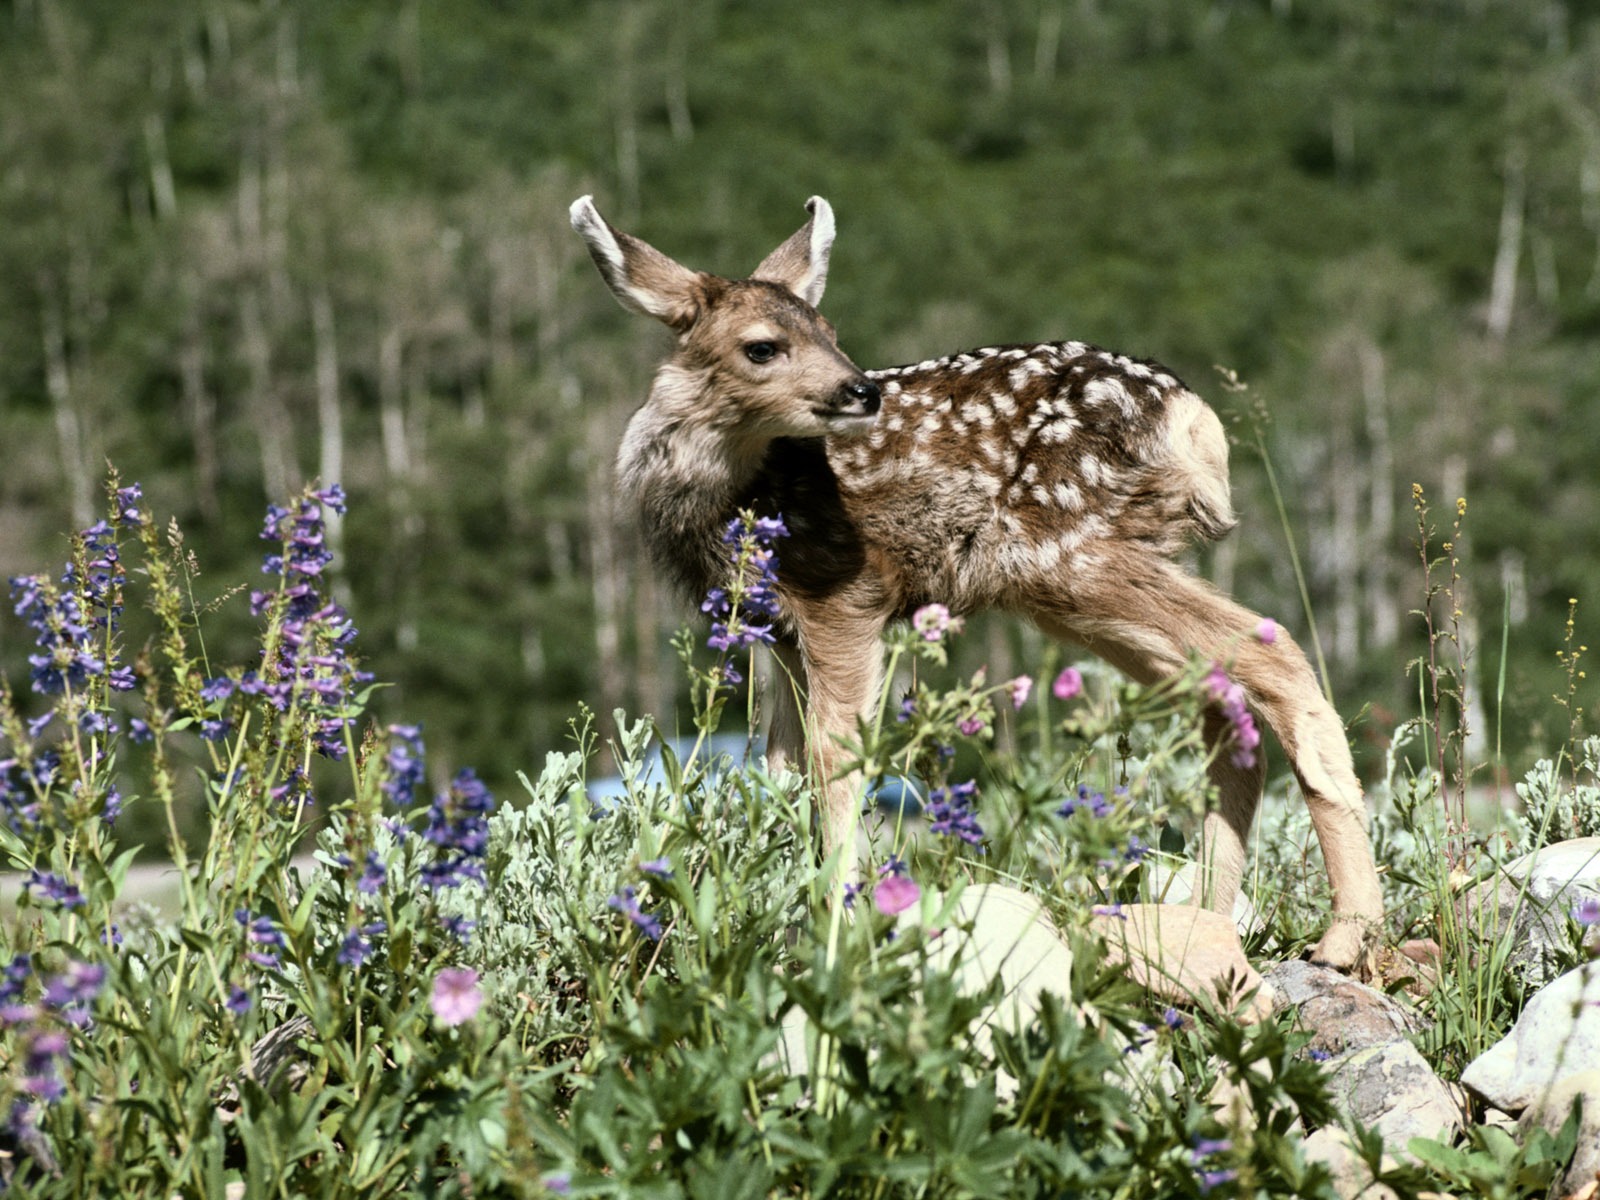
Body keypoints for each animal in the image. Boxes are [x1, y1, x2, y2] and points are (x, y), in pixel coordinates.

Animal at [569, 192, 1382, 972]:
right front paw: (791, 917)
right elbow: (779, 769)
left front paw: (836, 926)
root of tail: (1196, 420)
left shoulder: (842, 595)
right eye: (762, 346)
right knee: (1218, 699)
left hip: (1069, 552)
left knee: (1275, 655)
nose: (859, 390)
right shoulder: (777, 631)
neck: (738, 492)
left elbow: (836, 760)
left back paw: (1345, 936)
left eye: (830, 329)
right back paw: (1210, 919)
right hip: (1081, 581)